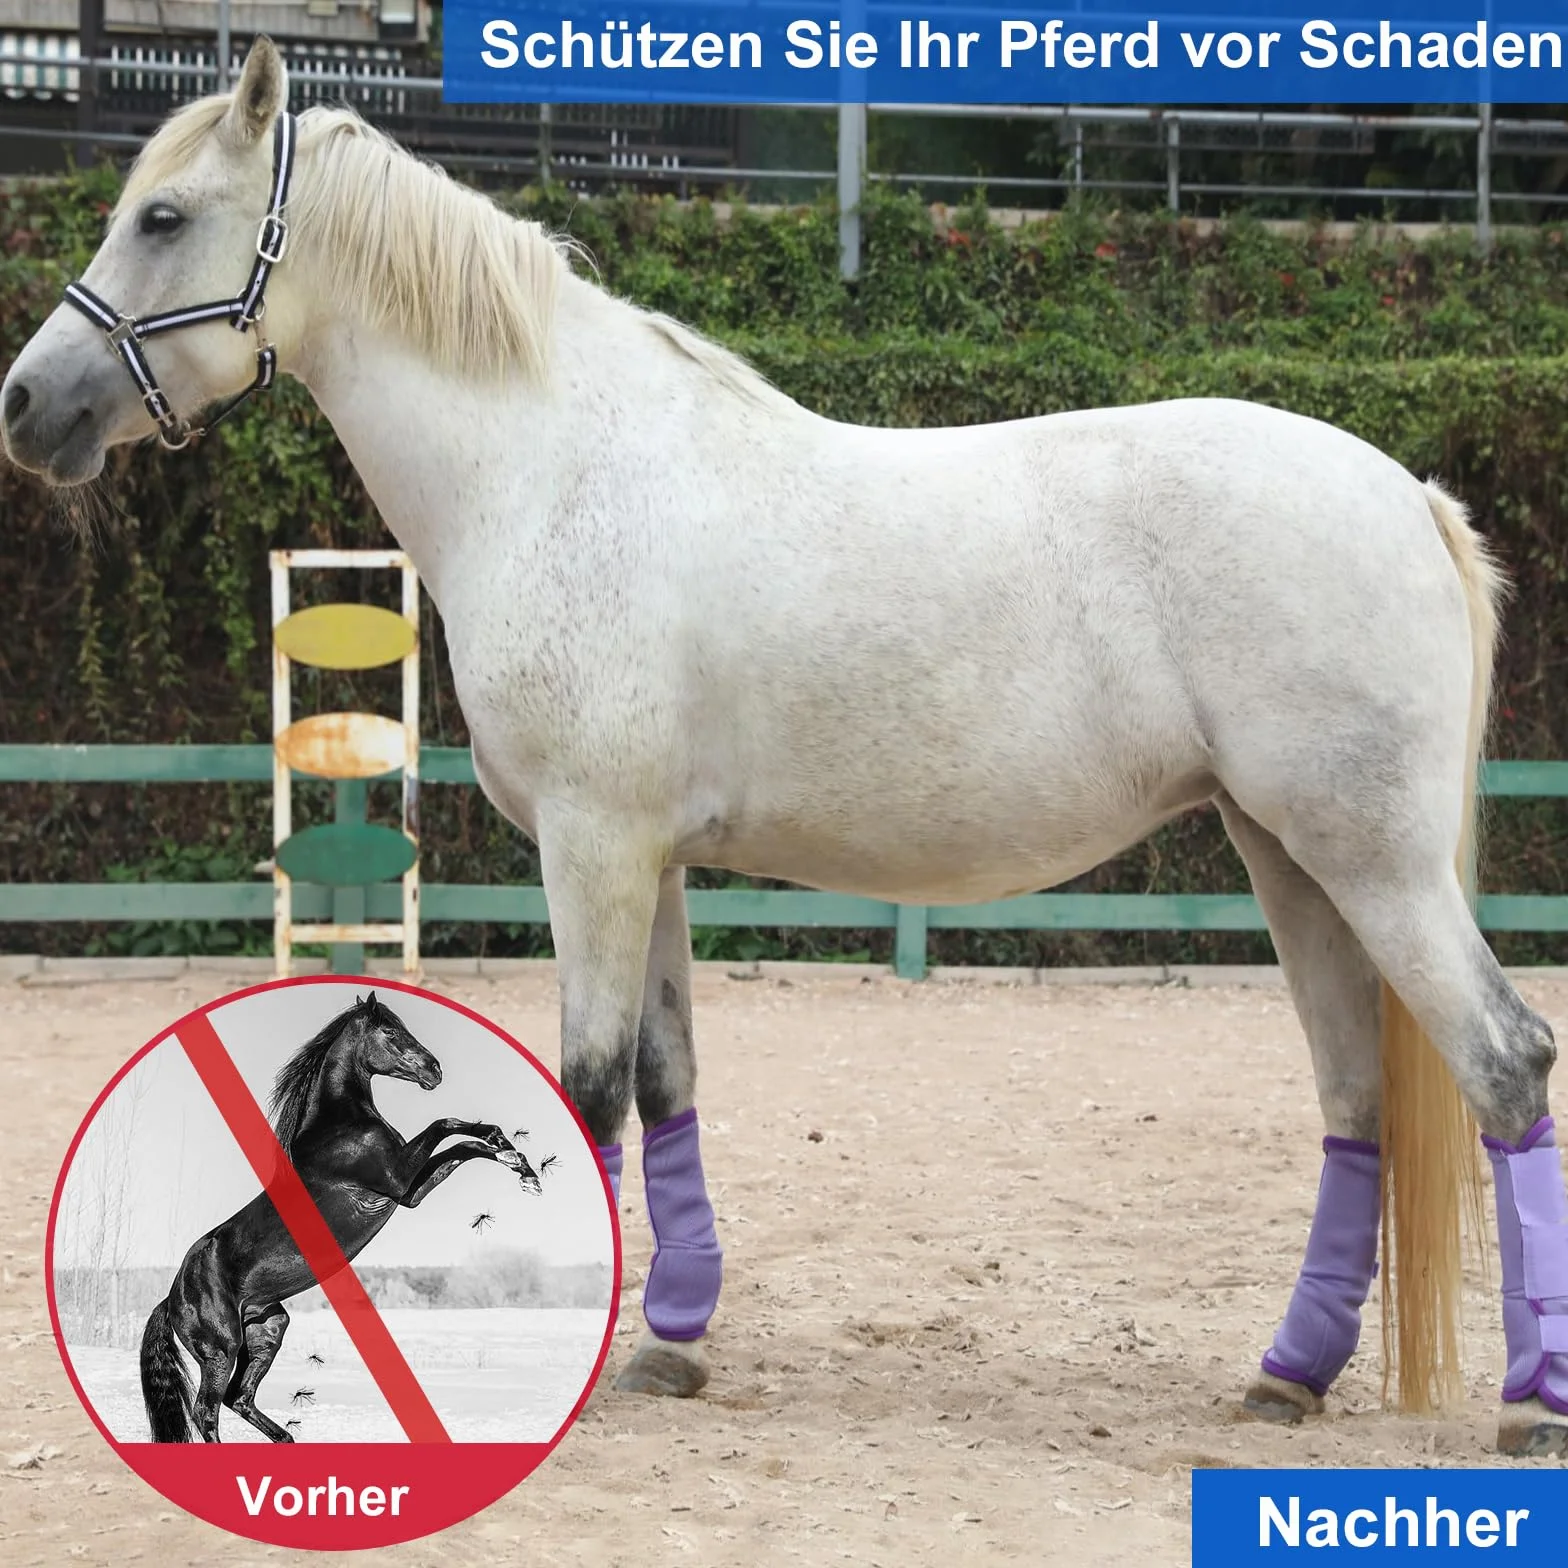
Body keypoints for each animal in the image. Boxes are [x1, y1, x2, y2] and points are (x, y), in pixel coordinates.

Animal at [137, 991, 538, 1442]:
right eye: (390, 1030)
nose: (434, 1070)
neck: (339, 1127)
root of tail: (171, 1298)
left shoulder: (409, 1192)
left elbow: (462, 1147)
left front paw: (520, 1164)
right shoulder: (398, 1178)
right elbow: (445, 1124)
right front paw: (508, 1150)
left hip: (266, 1329)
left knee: (239, 1397)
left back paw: (288, 1439)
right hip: (221, 1348)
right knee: (207, 1410)